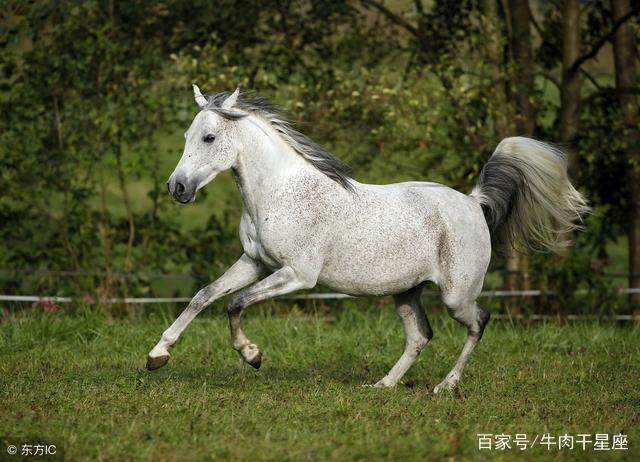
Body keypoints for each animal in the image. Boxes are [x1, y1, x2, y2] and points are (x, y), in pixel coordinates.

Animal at [148, 85, 588, 392]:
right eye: (186, 135)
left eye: (208, 138)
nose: (177, 188)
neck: (280, 191)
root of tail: (473, 202)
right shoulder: (254, 262)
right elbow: (204, 296)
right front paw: (157, 355)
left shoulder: (297, 275)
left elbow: (235, 303)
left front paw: (252, 355)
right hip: (405, 292)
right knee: (419, 336)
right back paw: (383, 385)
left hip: (456, 295)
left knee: (478, 322)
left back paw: (446, 385)